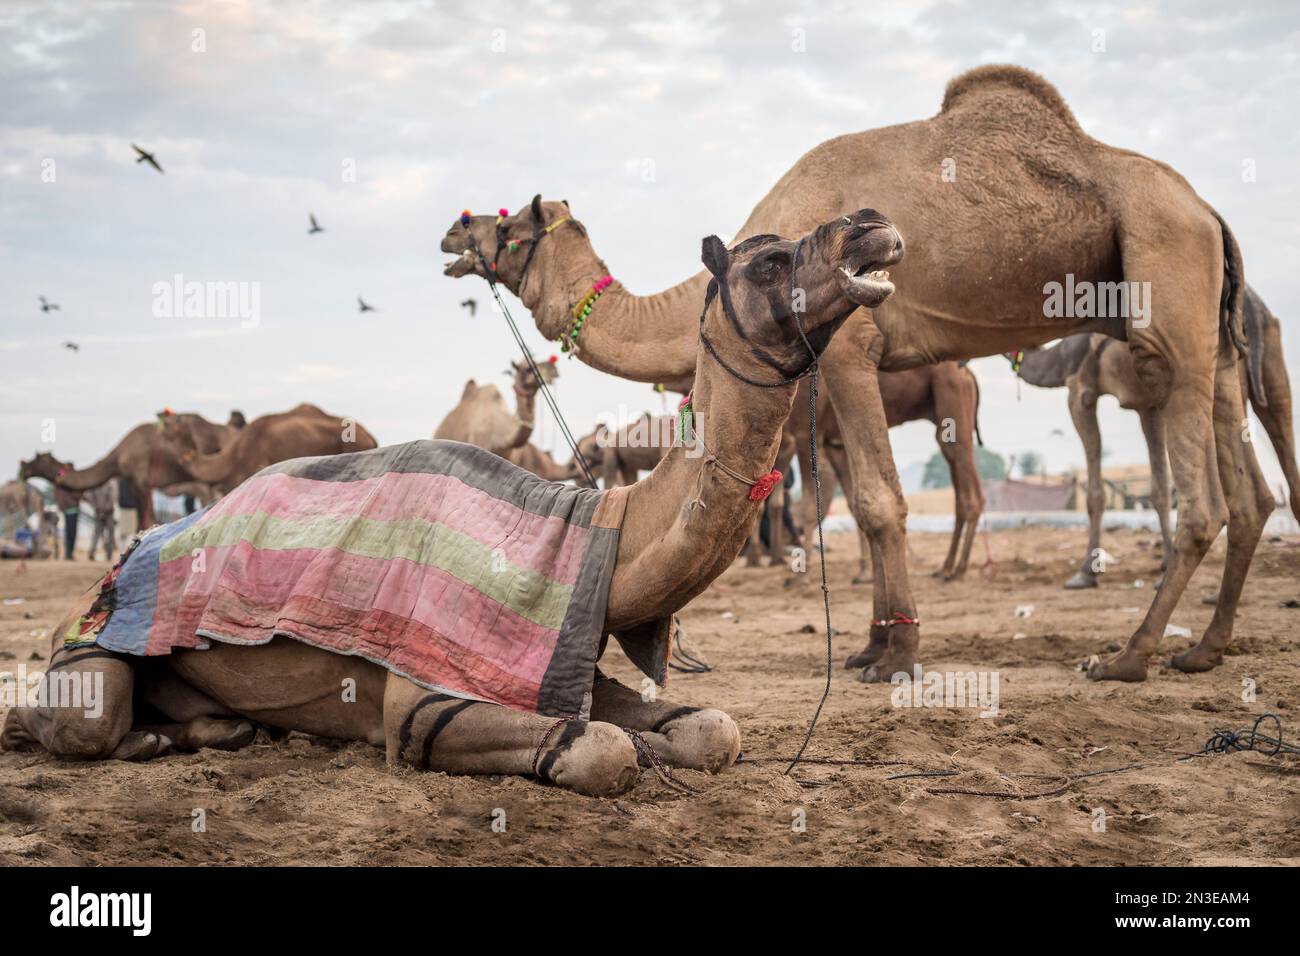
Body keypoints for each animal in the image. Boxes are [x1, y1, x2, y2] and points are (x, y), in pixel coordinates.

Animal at [1013, 283, 1300, 590]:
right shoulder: (1146, 407)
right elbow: (1160, 488)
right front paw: (1163, 566)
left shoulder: (1081, 391)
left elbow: (1096, 492)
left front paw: (1086, 573)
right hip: (1270, 362)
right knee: (1281, 433)